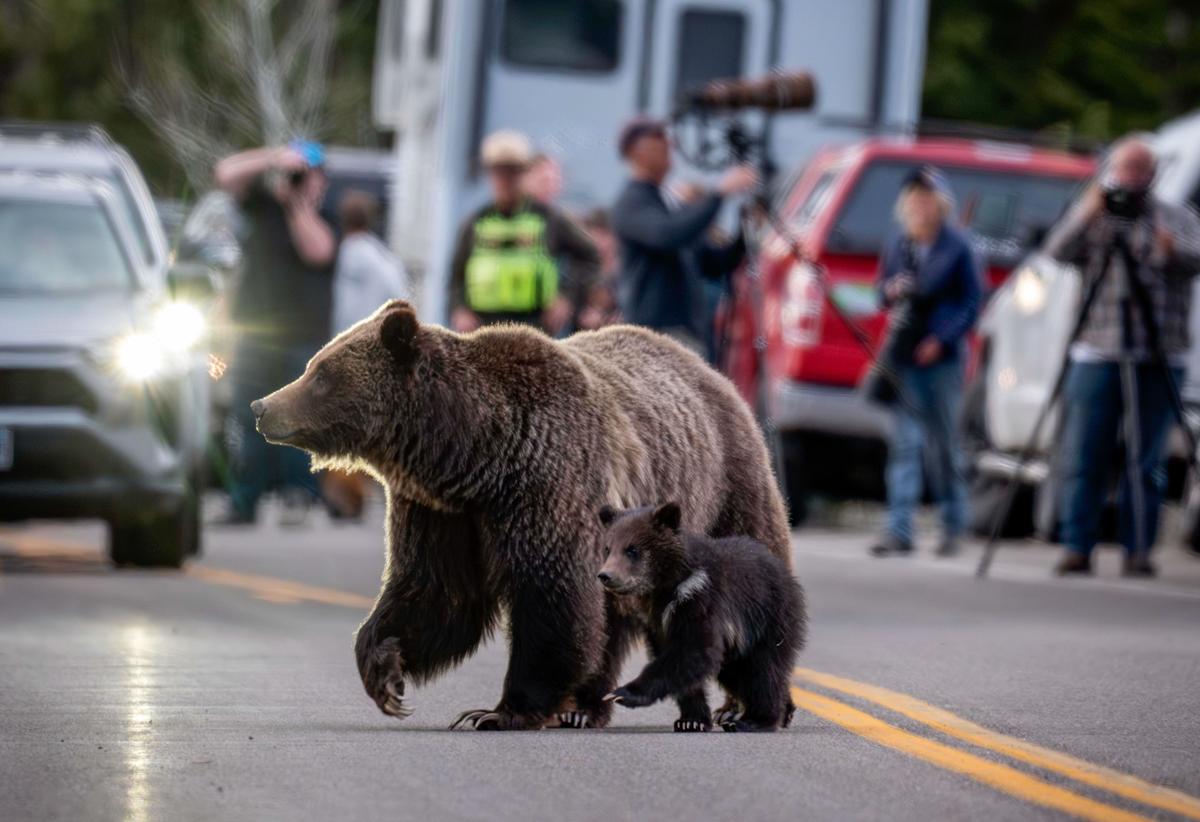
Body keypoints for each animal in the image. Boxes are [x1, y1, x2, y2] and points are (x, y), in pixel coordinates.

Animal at [597, 502, 804, 732]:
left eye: (632, 549)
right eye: (607, 548)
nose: (605, 575)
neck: (666, 588)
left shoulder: (700, 601)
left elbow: (694, 650)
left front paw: (620, 693)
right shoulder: (656, 622)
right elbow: (679, 662)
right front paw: (691, 720)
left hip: (770, 619)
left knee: (763, 670)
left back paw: (756, 719)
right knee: (738, 673)